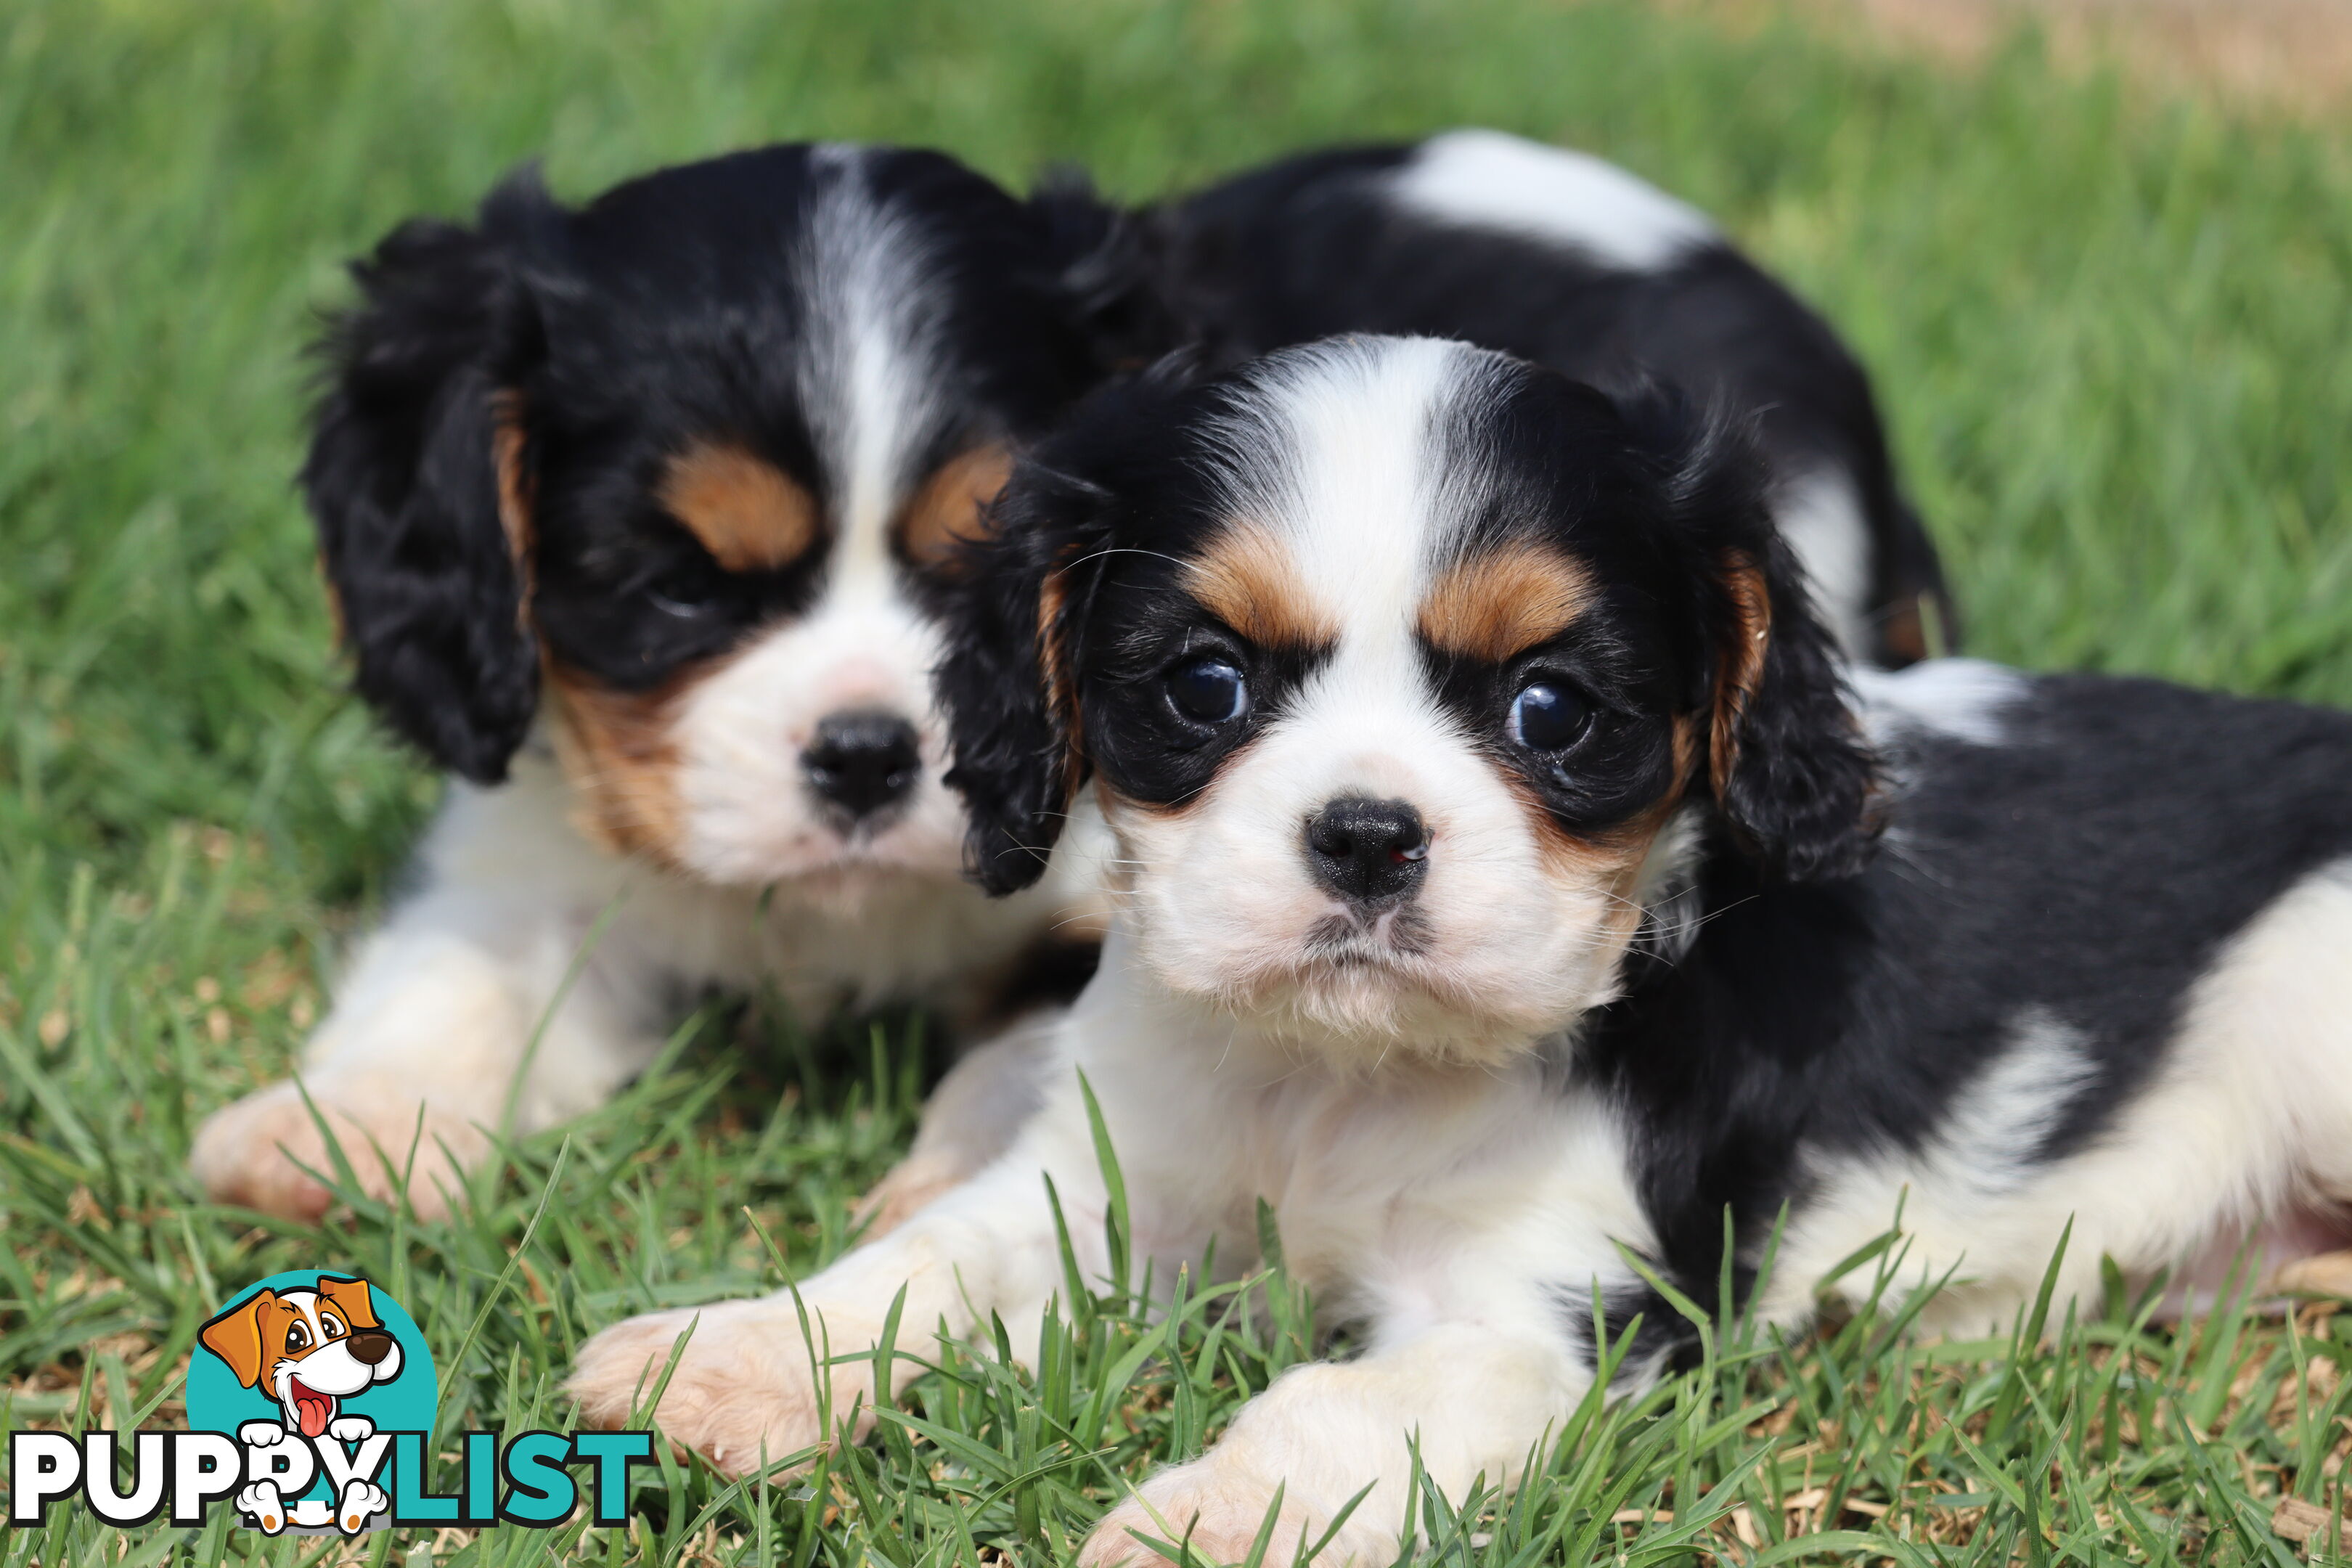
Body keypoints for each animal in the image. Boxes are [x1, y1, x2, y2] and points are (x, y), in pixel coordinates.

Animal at [185, 144, 1138, 1222]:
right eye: (682, 588)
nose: (865, 757)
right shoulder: (543, 855)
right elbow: (467, 965)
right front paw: (348, 1124)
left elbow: (1041, 1065)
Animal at [569, 331, 2352, 1561]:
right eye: (1203, 686)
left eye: (1553, 712)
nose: (1367, 833)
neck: (1344, 1075)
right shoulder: (1115, 1177)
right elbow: (934, 1261)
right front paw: (725, 1363)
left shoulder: (1548, 1318)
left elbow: (1336, 1404)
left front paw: (1200, 1523)